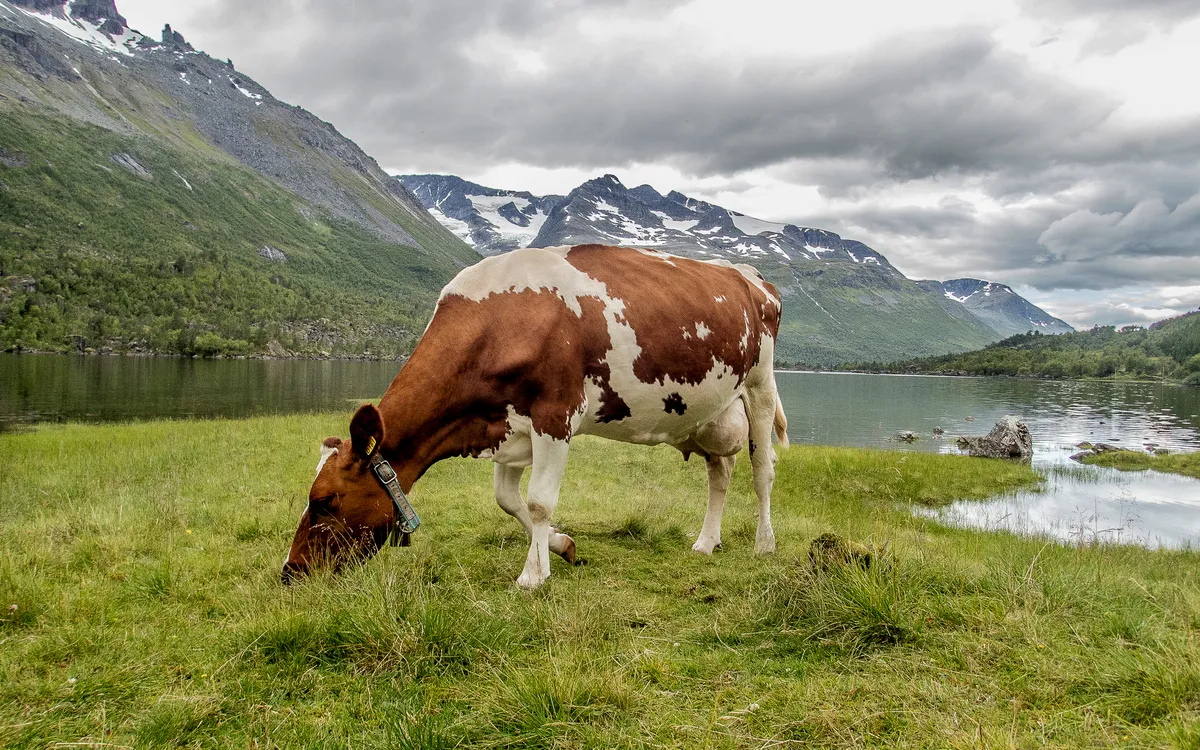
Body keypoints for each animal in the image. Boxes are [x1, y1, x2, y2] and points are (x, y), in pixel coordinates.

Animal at [283, 243, 789, 589]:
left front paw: (532, 575)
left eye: (324, 500)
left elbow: (541, 500)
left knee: (762, 469)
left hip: (760, 384)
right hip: (711, 412)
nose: (290, 571)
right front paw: (559, 548)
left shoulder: (555, 414)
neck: (500, 322)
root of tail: (749, 275)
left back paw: (765, 544)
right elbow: (510, 501)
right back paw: (706, 542)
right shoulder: (506, 426)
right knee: (720, 472)